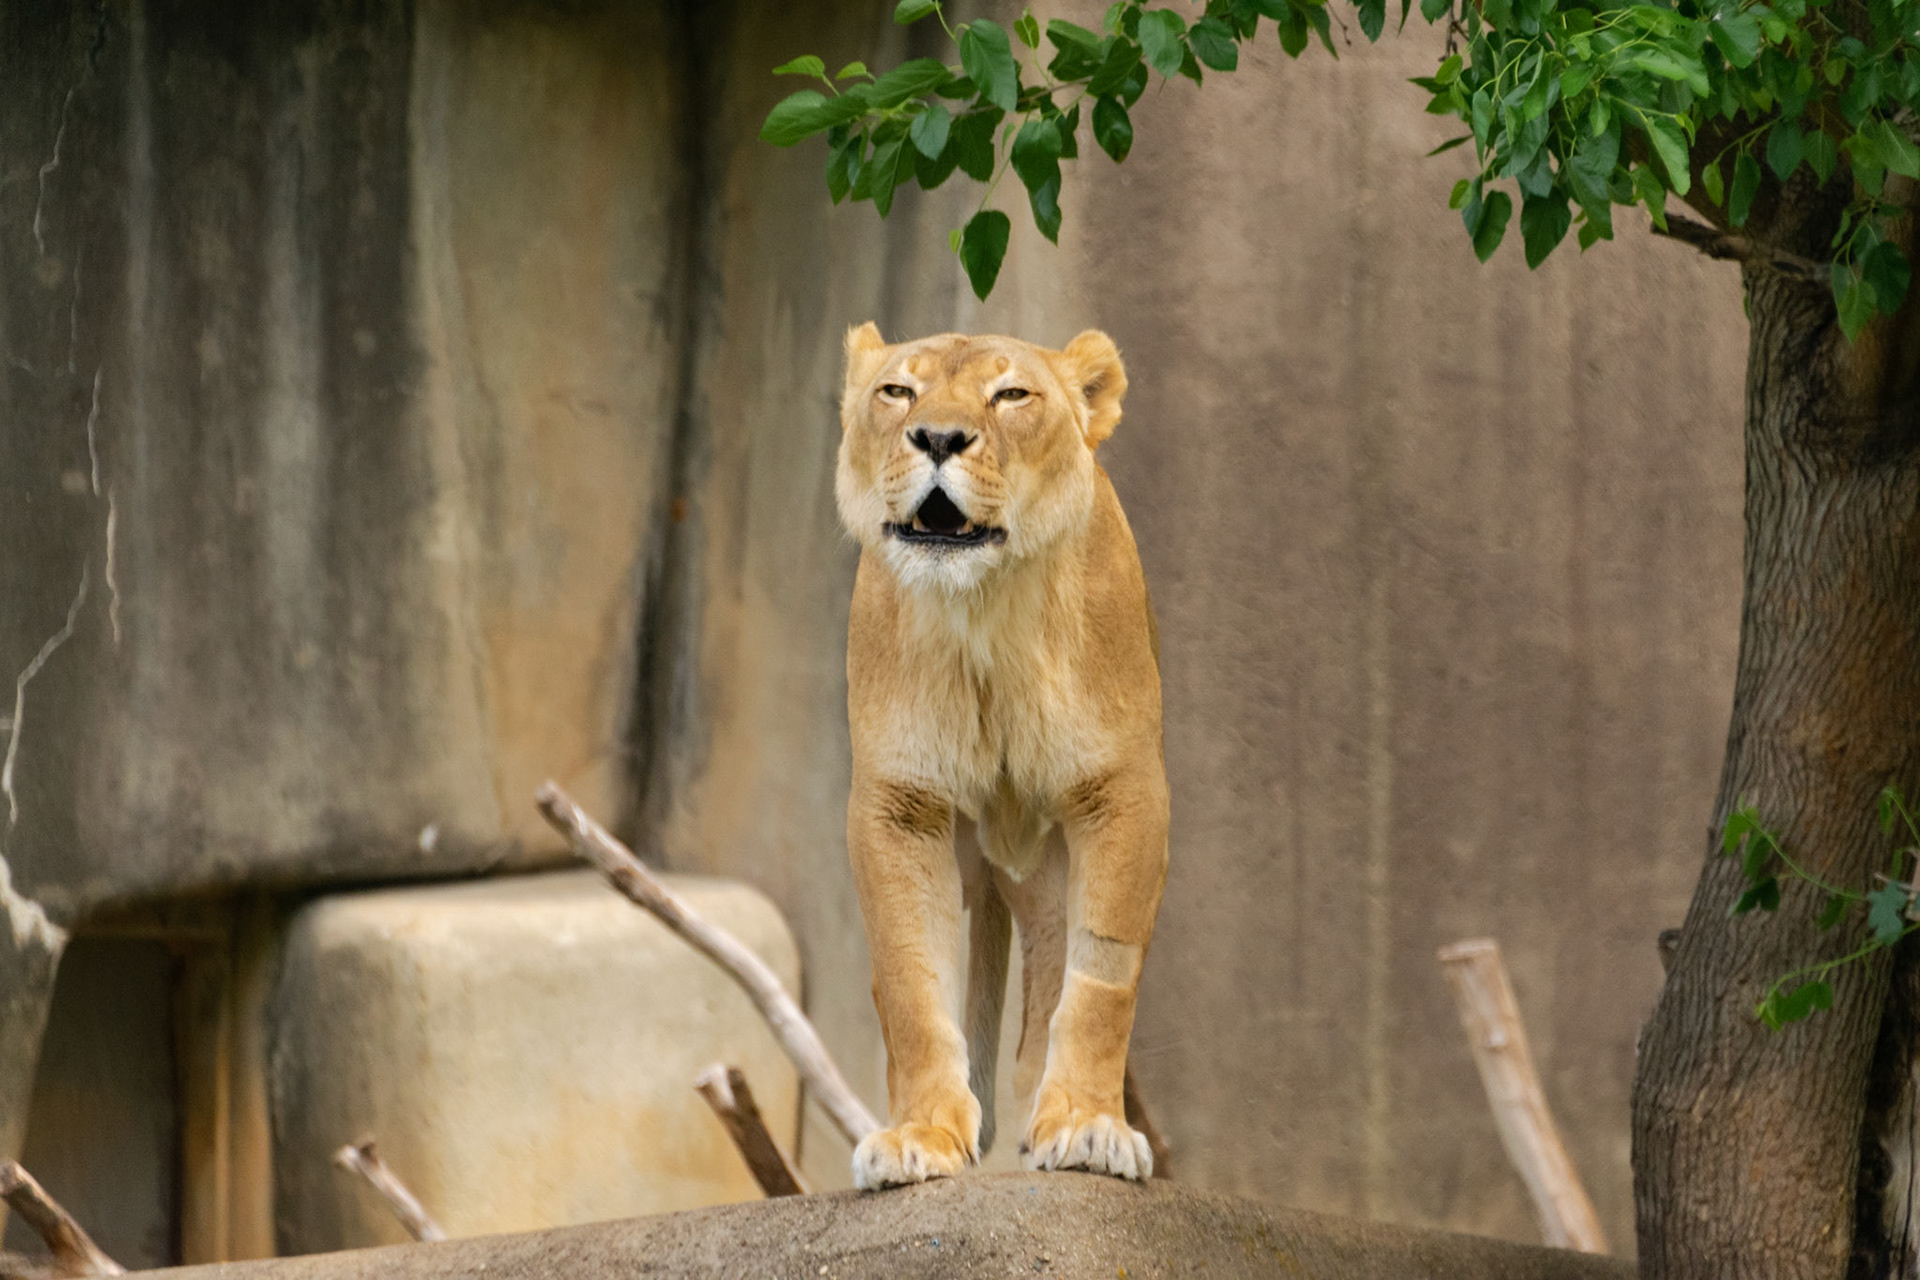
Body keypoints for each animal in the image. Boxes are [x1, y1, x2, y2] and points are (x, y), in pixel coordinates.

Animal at [836, 322, 1169, 1190]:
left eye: (1011, 394)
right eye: (898, 392)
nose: (938, 438)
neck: (981, 608)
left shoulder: (1122, 790)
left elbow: (1100, 980)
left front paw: (1088, 1126)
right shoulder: (900, 805)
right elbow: (912, 987)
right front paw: (920, 1134)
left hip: (1045, 875)